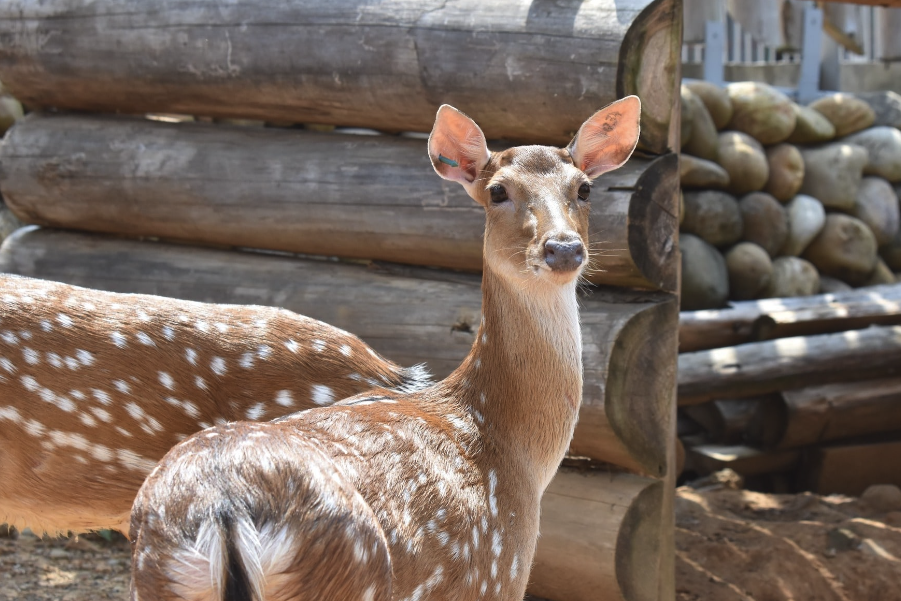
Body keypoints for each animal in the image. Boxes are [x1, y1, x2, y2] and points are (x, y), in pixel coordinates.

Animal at [130, 97, 644, 600]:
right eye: (498, 191)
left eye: (584, 189)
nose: (563, 248)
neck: (512, 450)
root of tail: (224, 508)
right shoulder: (499, 576)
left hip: (150, 575)